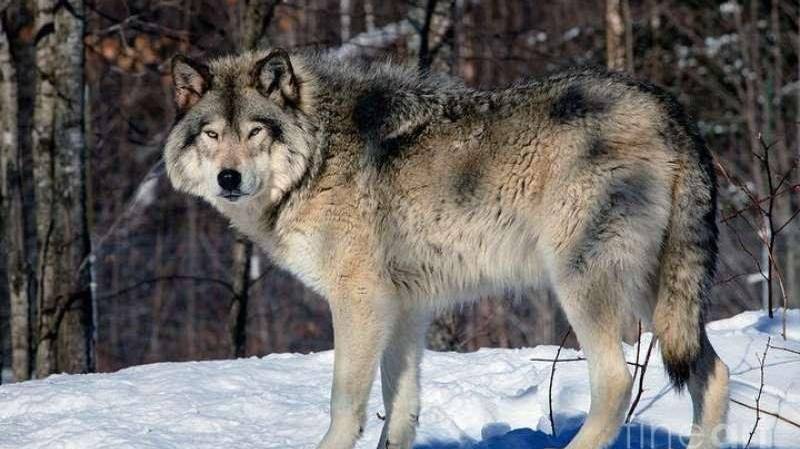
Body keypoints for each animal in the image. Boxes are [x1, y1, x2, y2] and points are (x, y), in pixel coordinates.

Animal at [163, 48, 729, 449]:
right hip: (657, 297)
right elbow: (400, 410)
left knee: (615, 385)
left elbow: (344, 402)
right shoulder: (406, 309)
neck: (318, 156)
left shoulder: (359, 301)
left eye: (255, 131)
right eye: (211, 134)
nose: (229, 178)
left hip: (582, 284)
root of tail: (670, 109)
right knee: (713, 372)